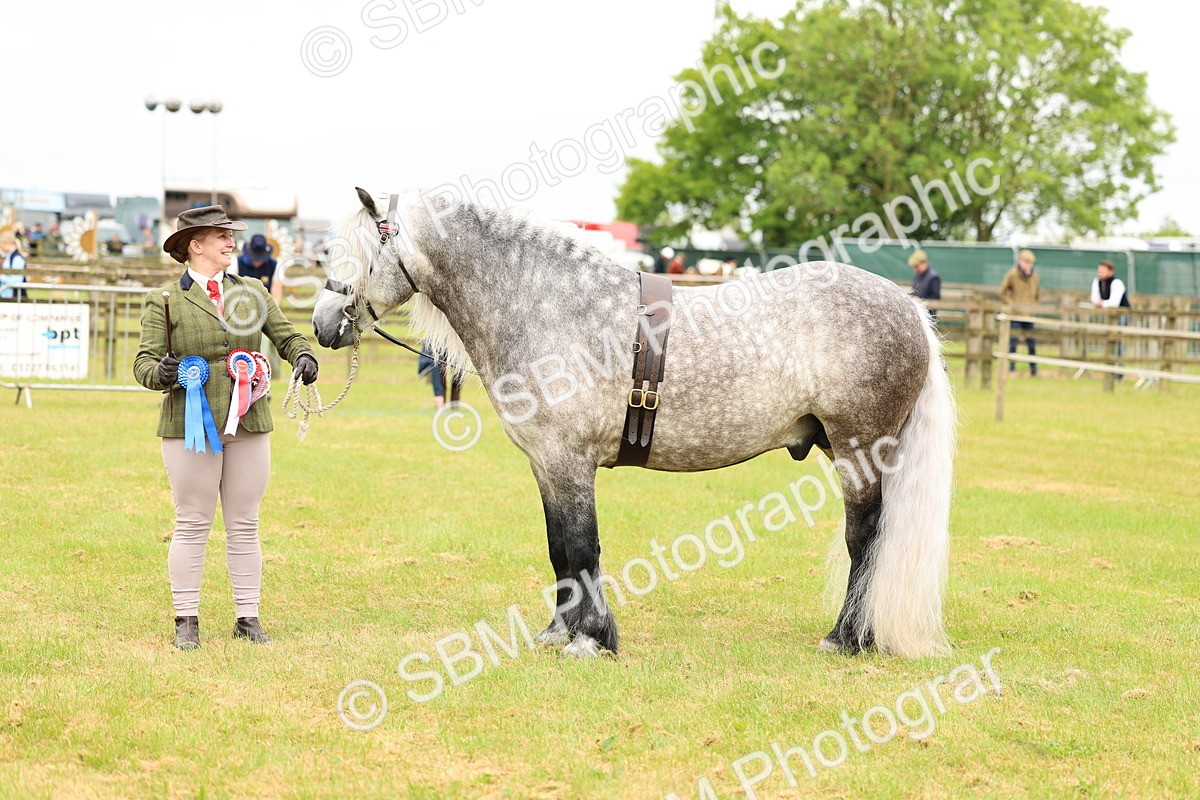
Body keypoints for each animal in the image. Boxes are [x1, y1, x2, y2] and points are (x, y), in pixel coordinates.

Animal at [312, 188, 955, 659]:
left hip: (858, 451)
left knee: (864, 540)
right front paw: (558, 633)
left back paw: (846, 639)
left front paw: (591, 641)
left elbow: (582, 546)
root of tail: (907, 307)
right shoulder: (547, 465)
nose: (322, 324)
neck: (546, 304)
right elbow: (560, 550)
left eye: (361, 251)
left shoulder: (569, 463)